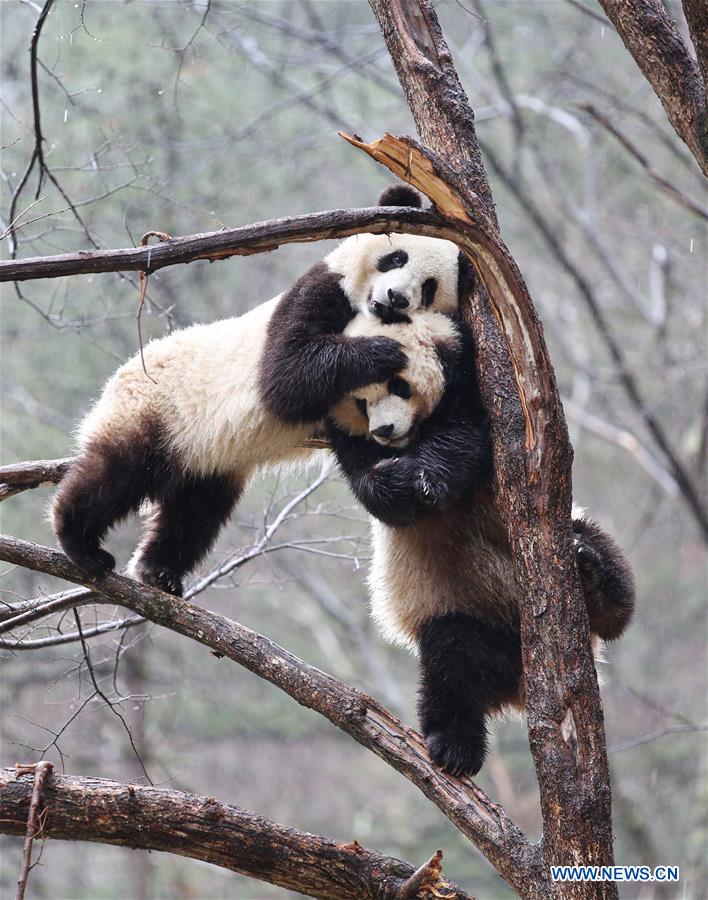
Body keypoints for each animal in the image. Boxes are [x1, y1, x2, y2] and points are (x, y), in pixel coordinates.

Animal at [51, 185, 474, 596]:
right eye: (396, 258)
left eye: (429, 288)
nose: (395, 299)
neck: (360, 311)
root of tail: (122, 374)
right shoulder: (319, 291)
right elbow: (287, 375)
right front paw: (382, 352)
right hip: (156, 406)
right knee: (117, 472)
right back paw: (80, 544)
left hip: (206, 457)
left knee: (194, 510)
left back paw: (159, 571)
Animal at [329, 307, 636, 778]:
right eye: (360, 403)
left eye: (399, 385)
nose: (385, 429)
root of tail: (518, 682)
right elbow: (374, 484)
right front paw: (400, 480)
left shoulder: (471, 385)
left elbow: (469, 429)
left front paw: (428, 475)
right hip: (464, 612)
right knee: (452, 664)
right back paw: (455, 748)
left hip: (571, 532)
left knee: (606, 569)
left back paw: (594, 577)